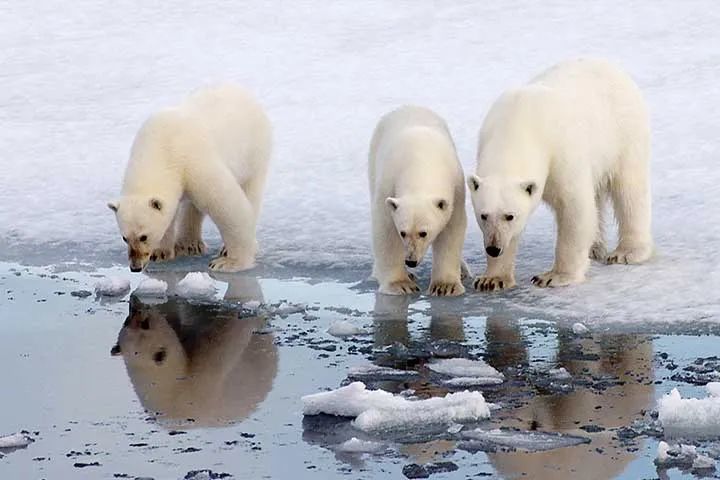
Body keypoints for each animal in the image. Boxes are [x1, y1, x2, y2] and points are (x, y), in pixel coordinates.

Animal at [108, 85, 272, 274]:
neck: (161, 148)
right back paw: (189, 245)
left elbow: (227, 206)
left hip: (253, 153)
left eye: (144, 236)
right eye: (124, 238)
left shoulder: (194, 162)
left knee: (250, 193)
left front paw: (229, 262)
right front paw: (160, 252)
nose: (135, 267)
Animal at [372, 105, 466, 296]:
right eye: (403, 232)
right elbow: (385, 231)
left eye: (423, 233)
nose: (411, 261)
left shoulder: (457, 190)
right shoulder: (388, 184)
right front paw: (401, 284)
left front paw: (445, 286)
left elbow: (452, 231)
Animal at [464, 60, 656, 292]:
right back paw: (594, 248)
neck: (517, 126)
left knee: (629, 191)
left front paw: (553, 277)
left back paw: (627, 252)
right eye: (483, 215)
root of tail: (611, 67)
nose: (493, 248)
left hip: (623, 133)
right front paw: (492, 279)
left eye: (510, 216)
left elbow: (575, 209)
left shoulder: (561, 153)